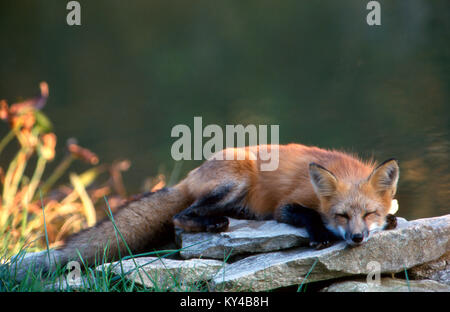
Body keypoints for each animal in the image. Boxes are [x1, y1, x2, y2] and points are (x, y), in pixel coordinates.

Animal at [12, 144, 400, 276]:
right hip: (237, 179)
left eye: (368, 214)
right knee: (180, 216)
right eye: (341, 216)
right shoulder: (286, 205)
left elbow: (392, 211)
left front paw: (392, 219)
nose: (357, 238)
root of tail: (192, 173)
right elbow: (307, 215)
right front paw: (319, 234)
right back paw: (213, 223)